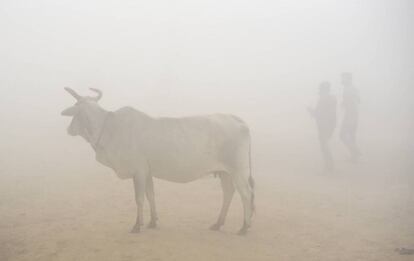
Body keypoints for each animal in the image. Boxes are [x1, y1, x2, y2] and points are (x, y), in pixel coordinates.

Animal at [60, 87, 256, 234]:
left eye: (76, 107)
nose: (69, 130)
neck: (109, 127)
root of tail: (237, 119)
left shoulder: (138, 172)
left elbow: (139, 198)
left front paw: (136, 226)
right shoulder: (147, 172)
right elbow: (151, 195)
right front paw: (152, 222)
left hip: (239, 171)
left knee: (246, 194)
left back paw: (244, 227)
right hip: (225, 172)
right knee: (228, 193)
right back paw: (218, 223)